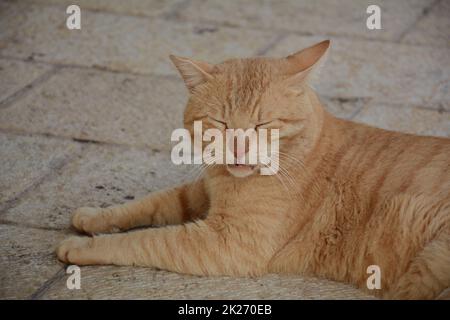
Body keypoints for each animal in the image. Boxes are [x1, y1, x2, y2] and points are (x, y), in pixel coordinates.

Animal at [57, 40, 450, 300]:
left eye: (263, 125)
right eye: (221, 123)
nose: (238, 147)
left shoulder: (228, 241)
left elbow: (144, 240)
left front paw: (82, 247)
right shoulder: (202, 192)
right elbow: (151, 204)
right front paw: (95, 217)